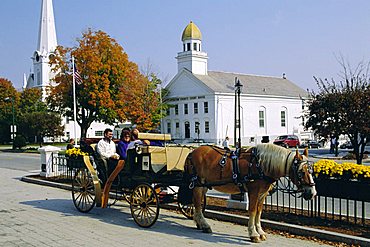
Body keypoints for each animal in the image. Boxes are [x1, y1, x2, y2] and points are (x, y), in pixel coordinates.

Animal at [186, 144, 316, 242]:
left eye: (311, 170)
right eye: (301, 172)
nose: (312, 193)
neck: (261, 165)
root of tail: (192, 152)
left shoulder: (262, 193)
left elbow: (259, 212)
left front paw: (261, 232)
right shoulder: (254, 191)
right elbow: (252, 211)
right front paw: (253, 234)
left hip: (203, 185)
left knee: (197, 203)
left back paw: (199, 223)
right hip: (197, 185)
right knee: (197, 205)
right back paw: (204, 225)